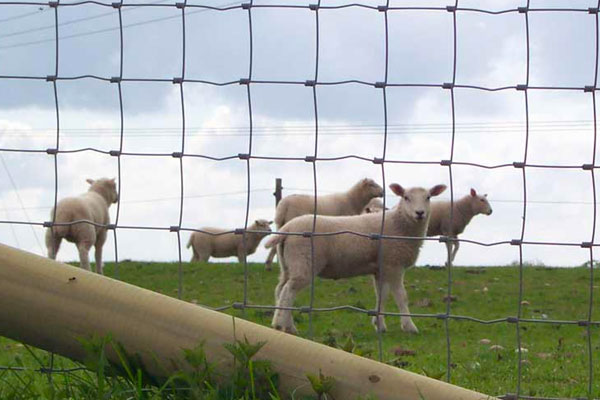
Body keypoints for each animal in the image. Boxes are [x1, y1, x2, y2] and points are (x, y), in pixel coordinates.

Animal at [266, 183, 446, 336]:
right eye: (406, 197)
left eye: (428, 197)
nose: (420, 213)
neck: (399, 225)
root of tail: (288, 228)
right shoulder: (394, 264)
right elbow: (401, 296)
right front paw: (409, 326)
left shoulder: (380, 268)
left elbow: (381, 295)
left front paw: (379, 325)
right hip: (304, 262)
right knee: (288, 291)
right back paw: (286, 326)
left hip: (289, 265)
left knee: (280, 289)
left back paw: (279, 323)